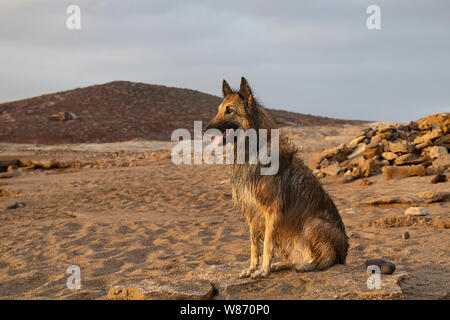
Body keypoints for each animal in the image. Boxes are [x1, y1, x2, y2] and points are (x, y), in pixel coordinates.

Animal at [206, 77, 350, 278]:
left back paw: (308, 265)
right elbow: (254, 245)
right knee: (294, 258)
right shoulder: (252, 212)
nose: (206, 129)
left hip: (313, 224)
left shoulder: (272, 211)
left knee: (329, 258)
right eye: (219, 109)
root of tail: (345, 253)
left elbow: (267, 244)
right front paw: (253, 268)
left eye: (229, 110)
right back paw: (282, 264)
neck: (253, 150)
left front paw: (263, 270)